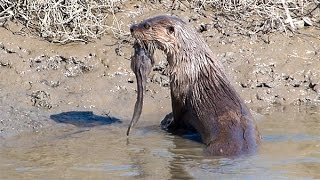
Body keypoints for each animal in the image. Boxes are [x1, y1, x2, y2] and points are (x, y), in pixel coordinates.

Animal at [129, 15, 258, 156]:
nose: (132, 28)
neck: (191, 62)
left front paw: (168, 124)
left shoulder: (179, 90)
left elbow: (178, 117)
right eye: (144, 20)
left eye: (147, 25)